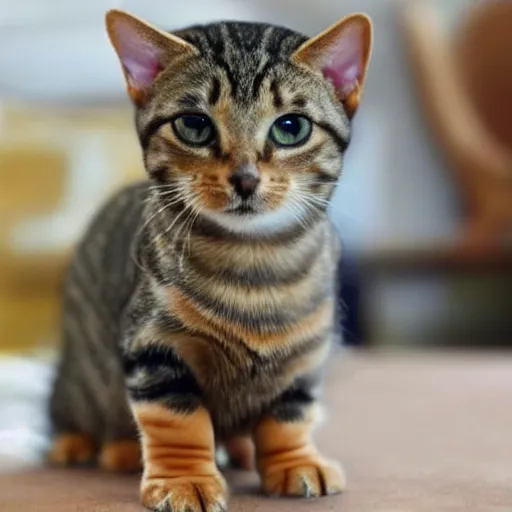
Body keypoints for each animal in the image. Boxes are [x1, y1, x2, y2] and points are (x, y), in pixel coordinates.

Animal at [48, 9, 372, 512]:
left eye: (291, 127)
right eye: (194, 126)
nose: (245, 178)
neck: (255, 265)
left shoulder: (306, 356)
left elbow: (290, 417)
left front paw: (295, 462)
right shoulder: (153, 347)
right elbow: (177, 421)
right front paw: (185, 480)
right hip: (80, 381)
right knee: (75, 412)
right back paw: (94, 446)